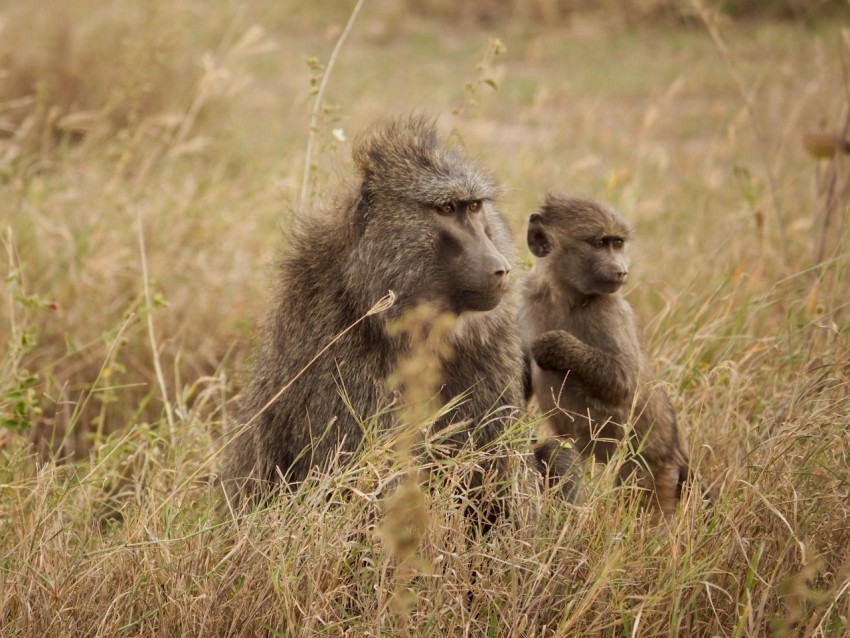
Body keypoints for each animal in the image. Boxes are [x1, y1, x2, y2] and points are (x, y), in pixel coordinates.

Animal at [520, 194, 690, 517]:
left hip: (653, 474)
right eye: (599, 243)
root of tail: (675, 453)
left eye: (617, 243)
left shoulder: (610, 311)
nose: (621, 270)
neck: (564, 296)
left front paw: (551, 346)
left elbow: (624, 381)